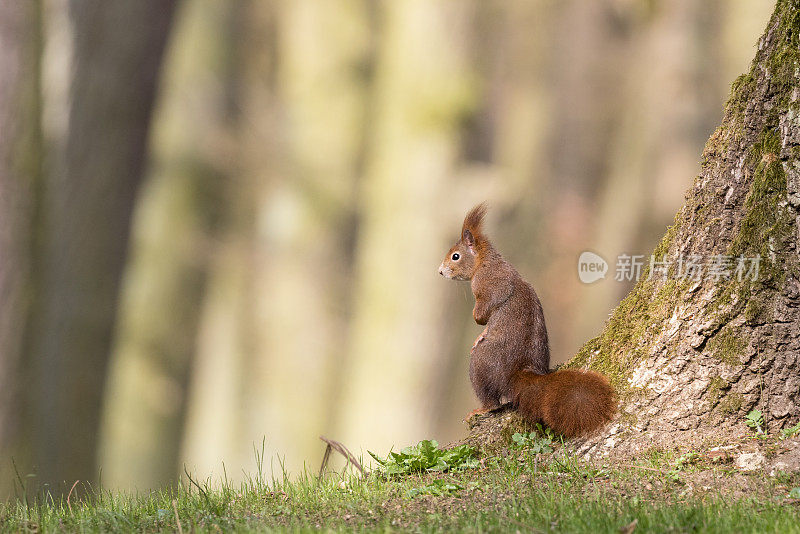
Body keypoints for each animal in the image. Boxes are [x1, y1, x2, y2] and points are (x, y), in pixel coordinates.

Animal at [438, 205, 620, 440]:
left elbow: (484, 311)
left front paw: (479, 328)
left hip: (480, 363)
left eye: (456, 256)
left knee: (493, 402)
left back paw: (481, 409)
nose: (440, 271)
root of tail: (520, 371)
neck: (485, 262)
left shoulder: (488, 285)